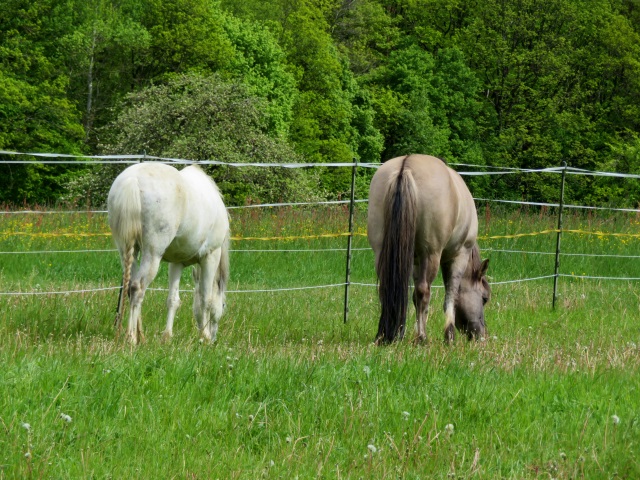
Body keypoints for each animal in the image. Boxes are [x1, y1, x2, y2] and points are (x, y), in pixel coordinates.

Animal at [107, 163, 230, 344]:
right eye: (223, 306)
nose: (214, 340)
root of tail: (132, 180)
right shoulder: (210, 256)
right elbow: (205, 299)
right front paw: (205, 336)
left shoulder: (177, 263)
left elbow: (173, 300)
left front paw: (167, 336)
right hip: (152, 254)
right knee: (137, 288)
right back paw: (131, 338)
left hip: (128, 251)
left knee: (129, 287)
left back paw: (141, 336)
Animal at [364, 154, 490, 342]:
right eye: (484, 298)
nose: (481, 334)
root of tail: (406, 165)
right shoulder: (459, 255)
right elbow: (451, 296)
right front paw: (449, 335)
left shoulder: (415, 260)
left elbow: (415, 298)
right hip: (431, 254)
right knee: (424, 291)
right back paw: (421, 338)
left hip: (382, 252)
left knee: (387, 289)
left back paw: (386, 335)